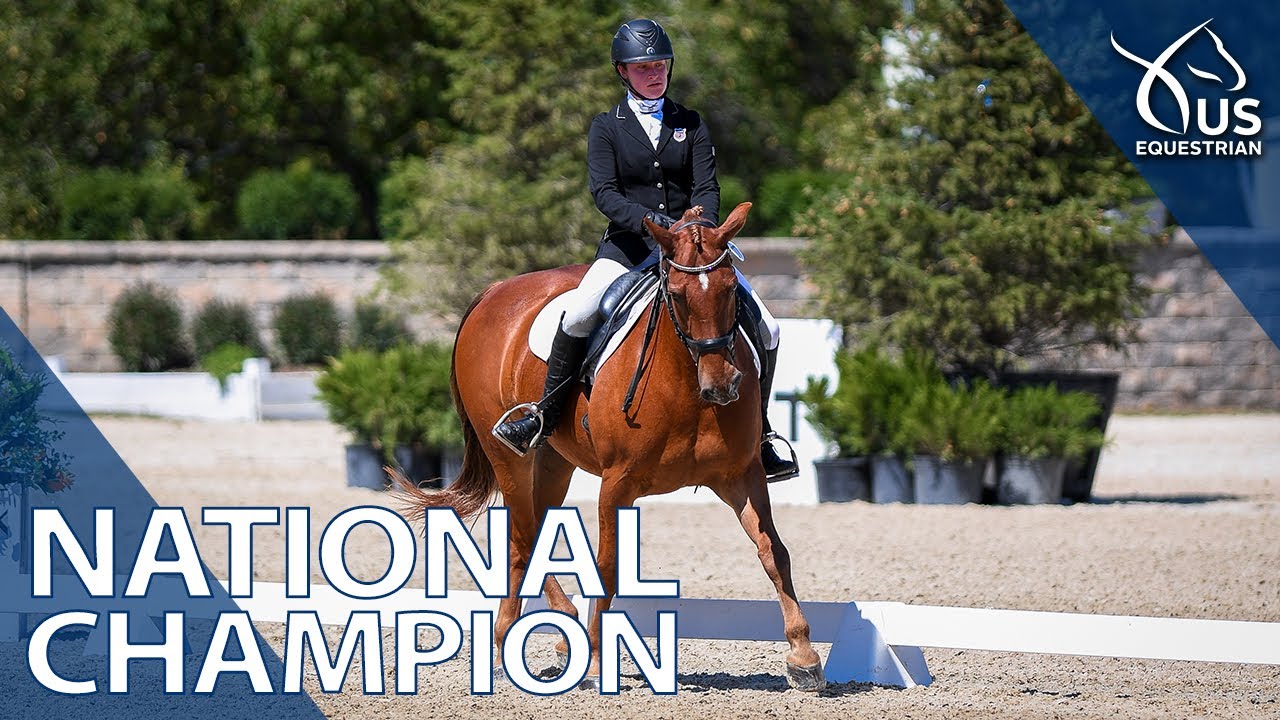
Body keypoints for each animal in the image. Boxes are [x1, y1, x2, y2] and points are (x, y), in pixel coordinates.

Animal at [398, 202, 825, 691]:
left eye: (732, 289)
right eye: (676, 295)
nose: (722, 386)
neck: (686, 383)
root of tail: (494, 291)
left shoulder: (743, 475)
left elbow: (774, 552)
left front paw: (803, 656)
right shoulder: (617, 482)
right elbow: (607, 565)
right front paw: (597, 660)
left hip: (554, 459)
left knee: (535, 529)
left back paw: (563, 634)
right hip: (506, 452)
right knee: (522, 534)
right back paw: (513, 640)